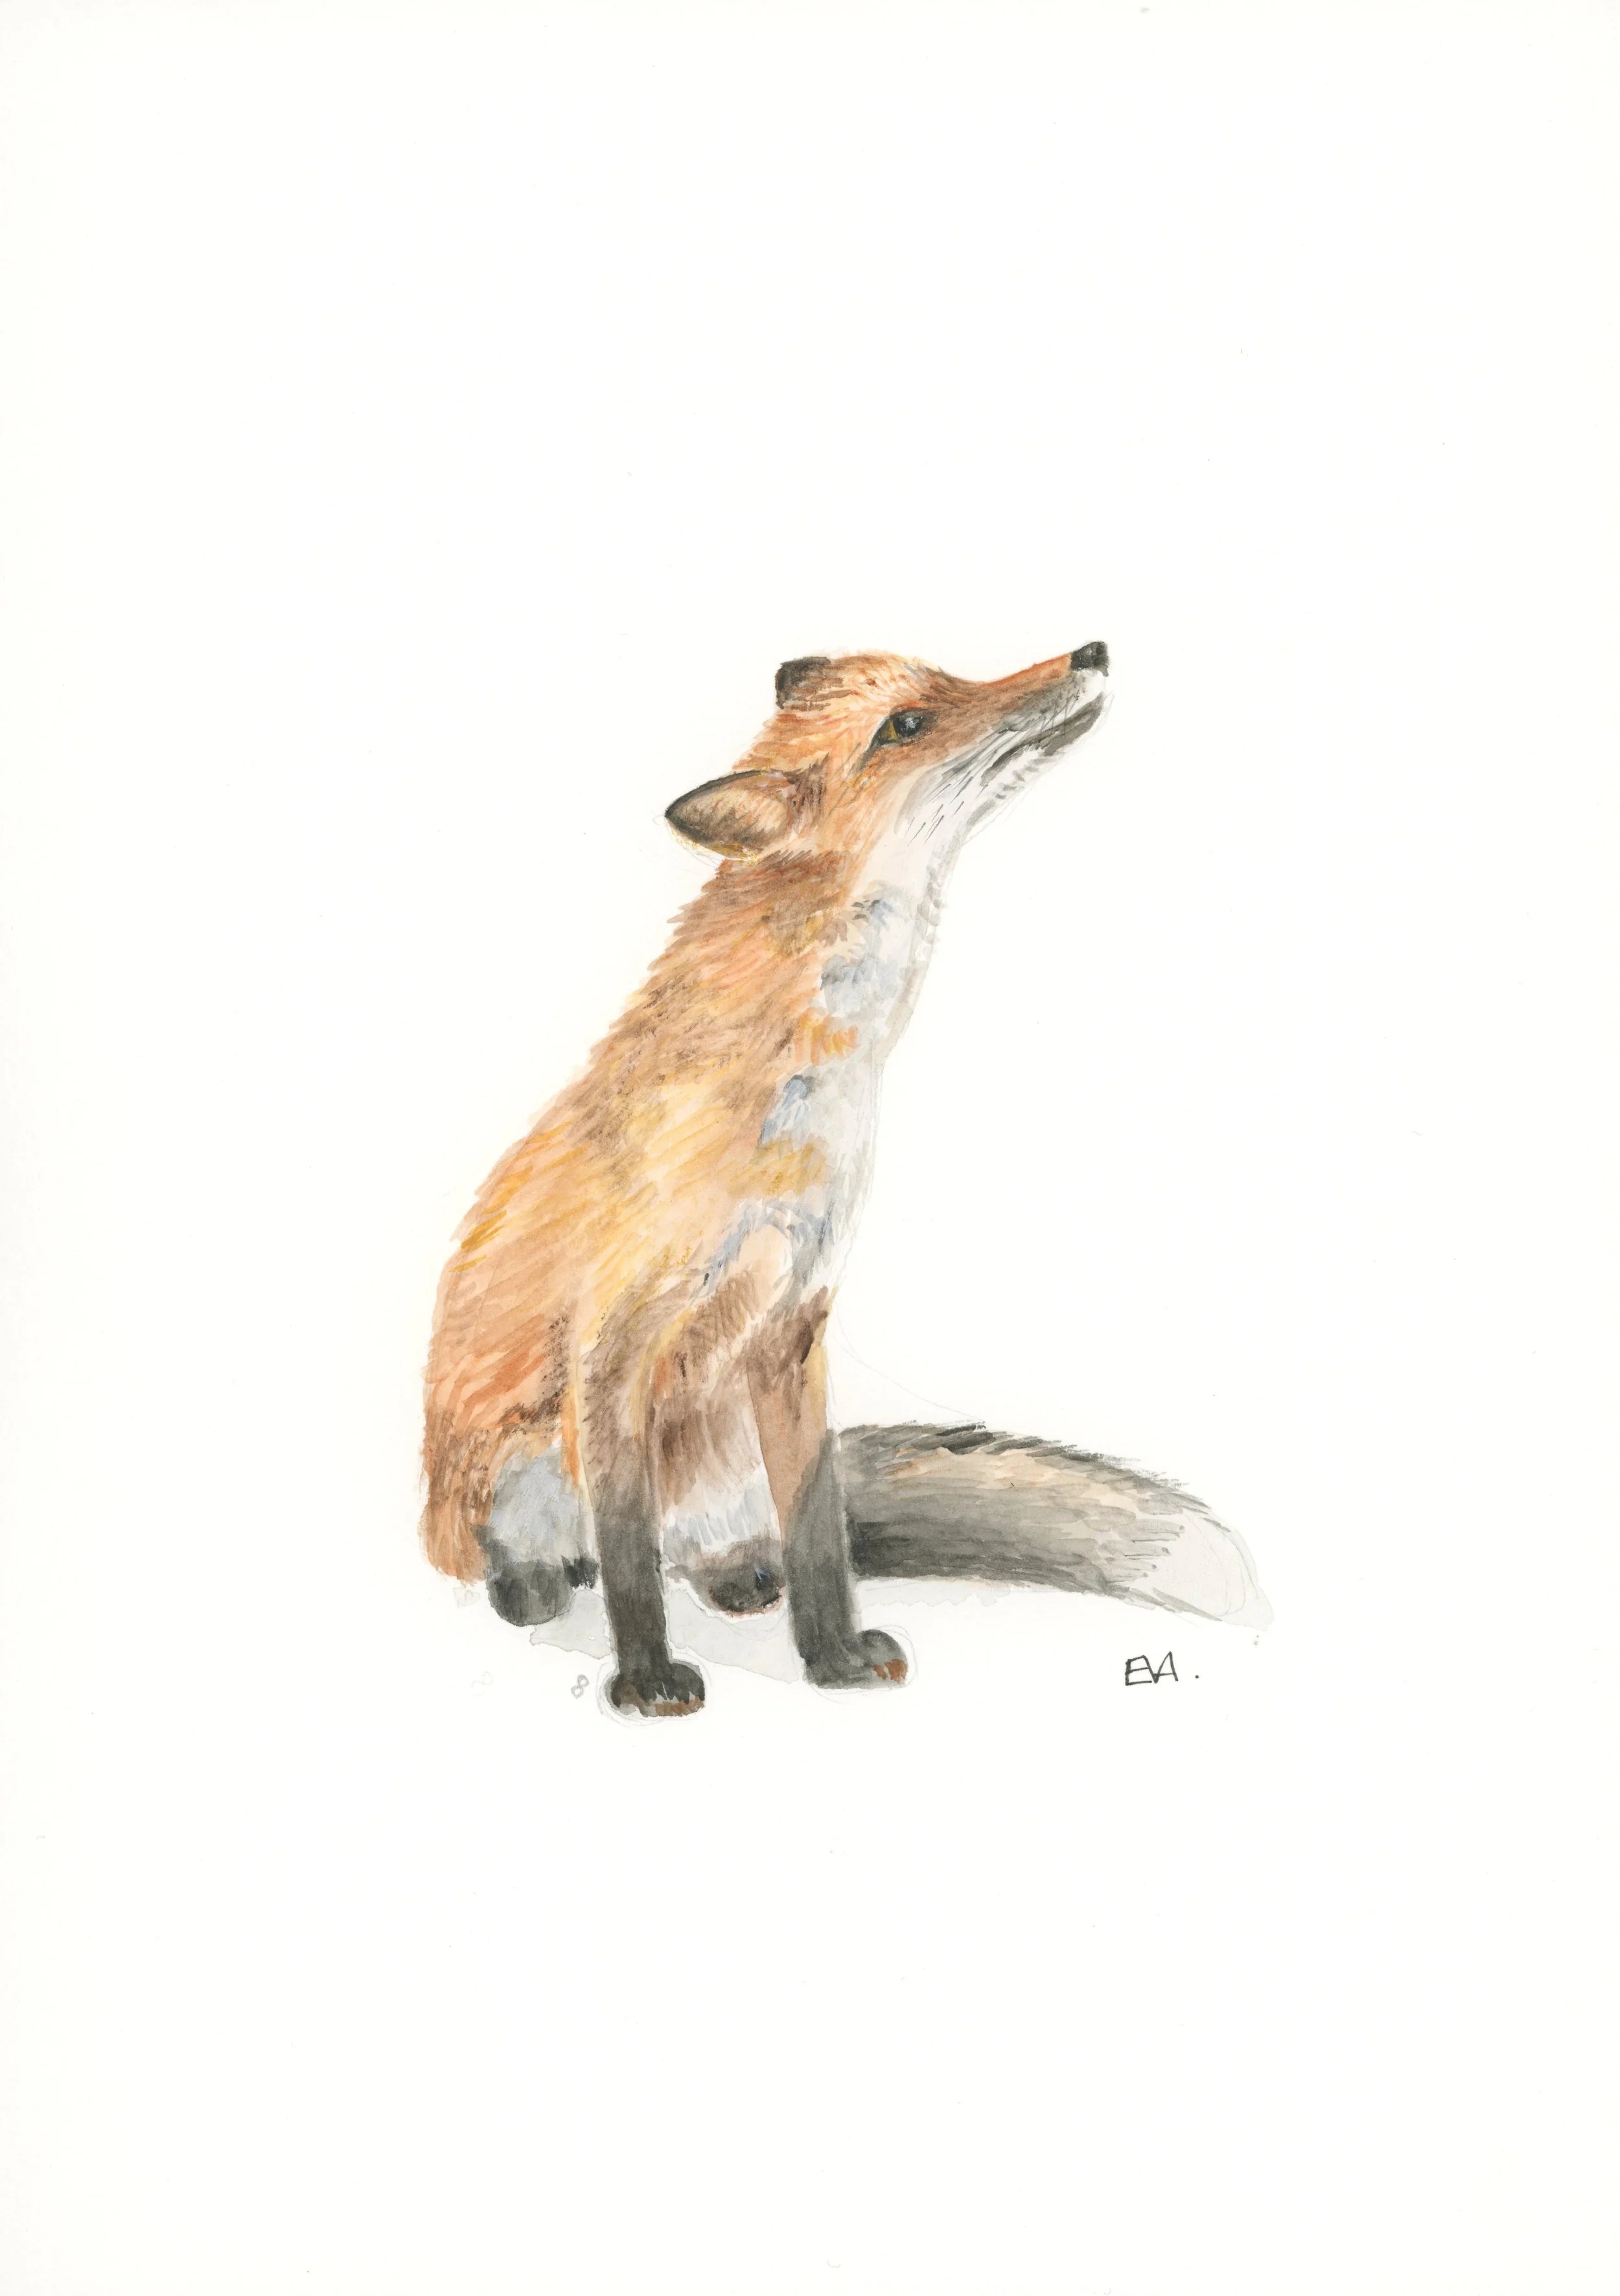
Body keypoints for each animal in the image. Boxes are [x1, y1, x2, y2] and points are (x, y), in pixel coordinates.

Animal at [423, 642, 1267, 1716]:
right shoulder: (611, 1343)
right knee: (567, 1557)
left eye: (947, 678)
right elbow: (625, 1551)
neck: (812, 1093)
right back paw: (531, 1582)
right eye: (904, 726)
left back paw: (738, 1576)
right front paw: (647, 1677)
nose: (1091, 651)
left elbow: (820, 1525)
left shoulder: (794, 1321)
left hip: (722, 1453)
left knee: (723, 1546)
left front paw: (832, 1656)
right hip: (518, 1470)